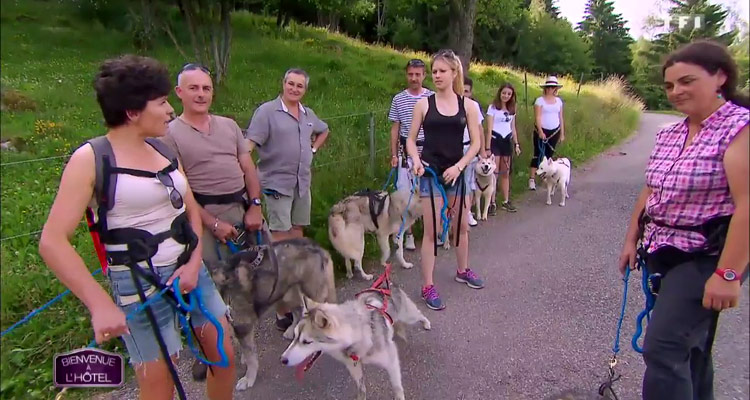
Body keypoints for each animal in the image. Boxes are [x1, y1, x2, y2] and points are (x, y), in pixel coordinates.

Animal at [282, 288, 434, 400]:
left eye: (307, 342)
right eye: (295, 336)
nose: (283, 360)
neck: (356, 334)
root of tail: (386, 286)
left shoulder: (391, 361)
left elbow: (397, 387)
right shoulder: (353, 366)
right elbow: (361, 387)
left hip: (409, 316)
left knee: (420, 315)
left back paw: (426, 322)